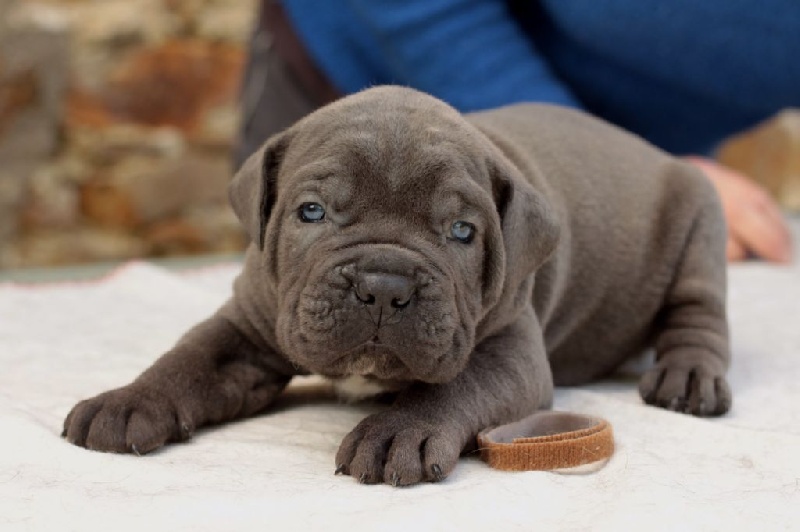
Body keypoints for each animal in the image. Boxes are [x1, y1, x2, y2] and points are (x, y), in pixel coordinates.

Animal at [63, 86, 731, 486]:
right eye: (311, 212)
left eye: (462, 231)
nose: (384, 285)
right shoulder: (247, 324)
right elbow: (191, 358)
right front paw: (129, 400)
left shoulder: (512, 354)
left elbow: (454, 386)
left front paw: (395, 433)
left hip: (700, 223)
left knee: (698, 314)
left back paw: (689, 377)